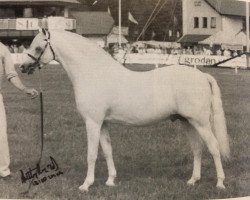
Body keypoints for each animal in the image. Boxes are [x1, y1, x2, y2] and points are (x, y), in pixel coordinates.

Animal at [20, 28, 230, 191]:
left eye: (38, 47)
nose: (23, 67)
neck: (93, 73)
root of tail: (202, 75)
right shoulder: (103, 123)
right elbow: (107, 150)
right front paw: (110, 180)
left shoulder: (92, 122)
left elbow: (91, 154)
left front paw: (86, 185)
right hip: (187, 122)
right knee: (197, 149)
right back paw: (193, 180)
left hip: (201, 123)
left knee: (213, 147)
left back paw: (220, 183)